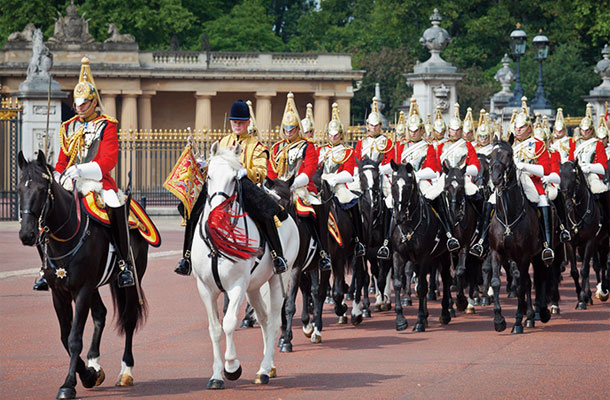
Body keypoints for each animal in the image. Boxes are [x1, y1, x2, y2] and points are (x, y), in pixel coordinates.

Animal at [18, 151, 147, 400]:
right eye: (19, 188)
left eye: (42, 188)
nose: (27, 234)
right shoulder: (60, 292)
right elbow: (64, 336)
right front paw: (88, 374)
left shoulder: (82, 289)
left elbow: (74, 338)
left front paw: (69, 384)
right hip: (94, 286)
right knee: (100, 314)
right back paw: (94, 362)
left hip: (131, 280)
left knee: (128, 319)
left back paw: (126, 371)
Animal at [190, 142, 300, 390]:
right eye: (208, 175)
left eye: (234, 179)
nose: (217, 213)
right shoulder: (205, 289)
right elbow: (215, 329)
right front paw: (216, 376)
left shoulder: (237, 284)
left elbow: (229, 323)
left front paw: (232, 367)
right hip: (254, 287)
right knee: (265, 320)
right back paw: (267, 368)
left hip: (279, 278)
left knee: (274, 321)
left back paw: (264, 370)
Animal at [384, 161, 452, 332]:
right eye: (393, 185)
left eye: (408, 186)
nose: (399, 217)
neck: (408, 226)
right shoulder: (398, 255)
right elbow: (398, 284)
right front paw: (400, 320)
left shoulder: (423, 257)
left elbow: (421, 287)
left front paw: (420, 321)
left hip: (444, 255)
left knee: (446, 279)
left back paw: (445, 313)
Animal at [486, 141, 548, 334]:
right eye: (491, 156)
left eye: (509, 155)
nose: (496, 178)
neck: (508, 218)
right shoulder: (496, 252)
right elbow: (496, 282)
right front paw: (499, 320)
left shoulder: (524, 255)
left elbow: (520, 286)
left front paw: (518, 322)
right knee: (527, 280)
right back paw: (531, 316)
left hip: (538, 255)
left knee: (540, 278)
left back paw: (542, 312)